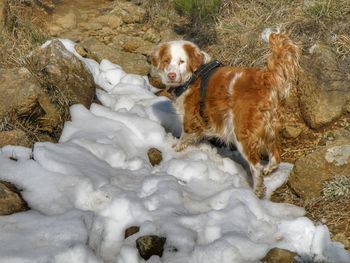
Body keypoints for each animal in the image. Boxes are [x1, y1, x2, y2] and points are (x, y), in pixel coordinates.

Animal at [149, 29, 300, 198]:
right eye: (166, 61)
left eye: (182, 61)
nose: (172, 75)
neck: (193, 76)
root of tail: (265, 78)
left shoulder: (189, 119)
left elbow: (183, 137)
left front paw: (173, 150)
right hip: (269, 128)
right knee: (276, 156)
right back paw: (269, 169)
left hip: (241, 132)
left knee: (256, 166)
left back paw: (256, 190)